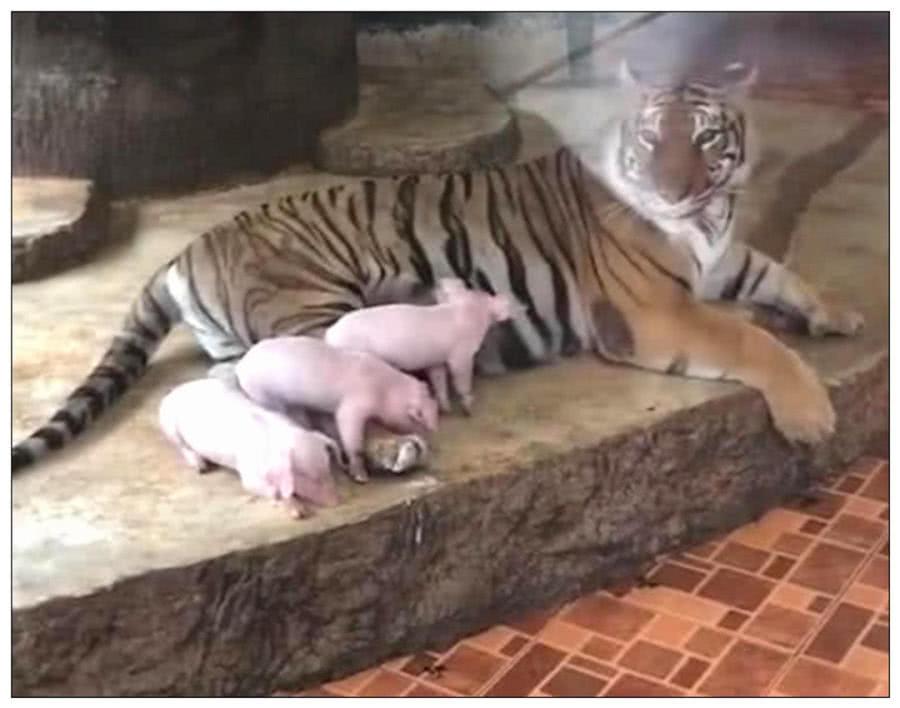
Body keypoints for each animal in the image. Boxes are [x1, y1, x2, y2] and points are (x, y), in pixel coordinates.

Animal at [12, 61, 863, 474]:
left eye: (707, 138)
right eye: (653, 139)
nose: (672, 190)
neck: (706, 221)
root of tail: (183, 251)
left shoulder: (720, 260)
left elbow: (776, 273)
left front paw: (839, 311)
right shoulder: (655, 310)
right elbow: (753, 340)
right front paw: (810, 415)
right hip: (315, 321)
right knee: (315, 401)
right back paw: (391, 450)